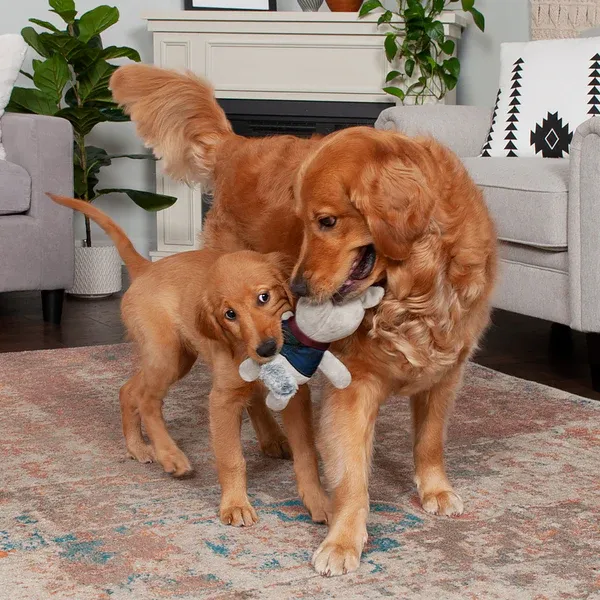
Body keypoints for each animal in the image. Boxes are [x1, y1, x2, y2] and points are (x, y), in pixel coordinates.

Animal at [47, 196, 328, 524]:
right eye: (229, 314)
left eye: (264, 297)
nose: (267, 349)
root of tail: (146, 269)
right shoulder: (222, 400)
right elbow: (231, 458)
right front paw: (235, 504)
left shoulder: (296, 396)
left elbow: (306, 453)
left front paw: (318, 500)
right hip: (167, 355)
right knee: (146, 400)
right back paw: (170, 455)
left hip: (176, 357)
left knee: (128, 390)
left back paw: (137, 447)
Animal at [108, 63, 496, 576]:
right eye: (304, 221)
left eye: (327, 221)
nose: (297, 289)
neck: (414, 293)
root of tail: (237, 144)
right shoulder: (356, 383)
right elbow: (351, 474)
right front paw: (343, 540)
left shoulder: (446, 370)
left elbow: (430, 440)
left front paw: (435, 489)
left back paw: (272, 438)